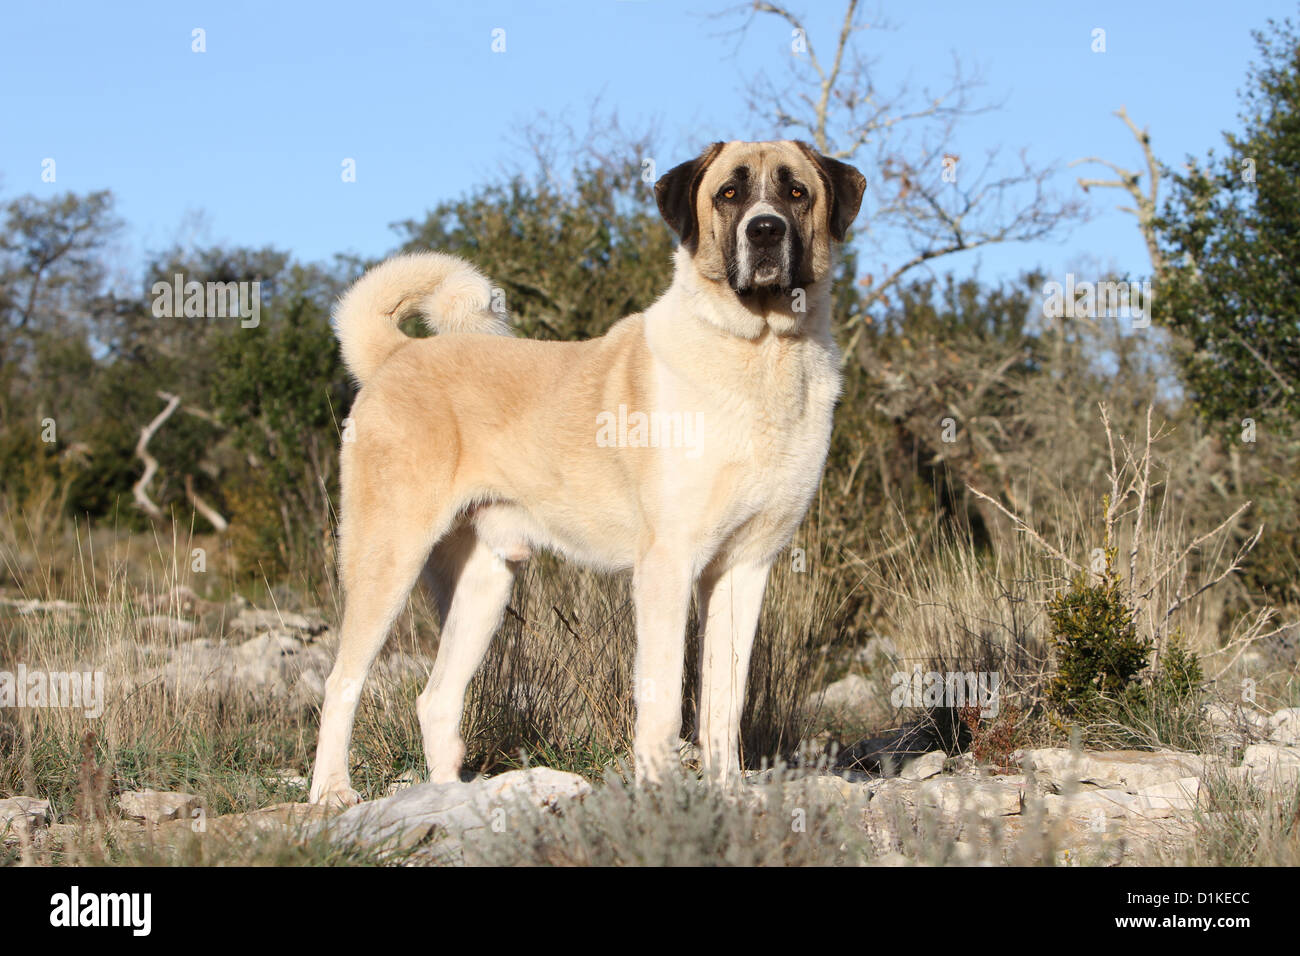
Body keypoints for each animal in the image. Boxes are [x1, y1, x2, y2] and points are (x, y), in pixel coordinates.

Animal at [306, 138, 863, 806]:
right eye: (729, 193)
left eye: (796, 192)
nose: (765, 230)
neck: (763, 351)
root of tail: (398, 354)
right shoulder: (668, 566)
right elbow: (663, 703)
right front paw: (662, 793)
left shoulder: (744, 569)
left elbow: (724, 702)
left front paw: (729, 791)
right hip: (387, 559)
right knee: (341, 682)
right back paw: (331, 793)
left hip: (485, 583)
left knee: (436, 699)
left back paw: (450, 800)